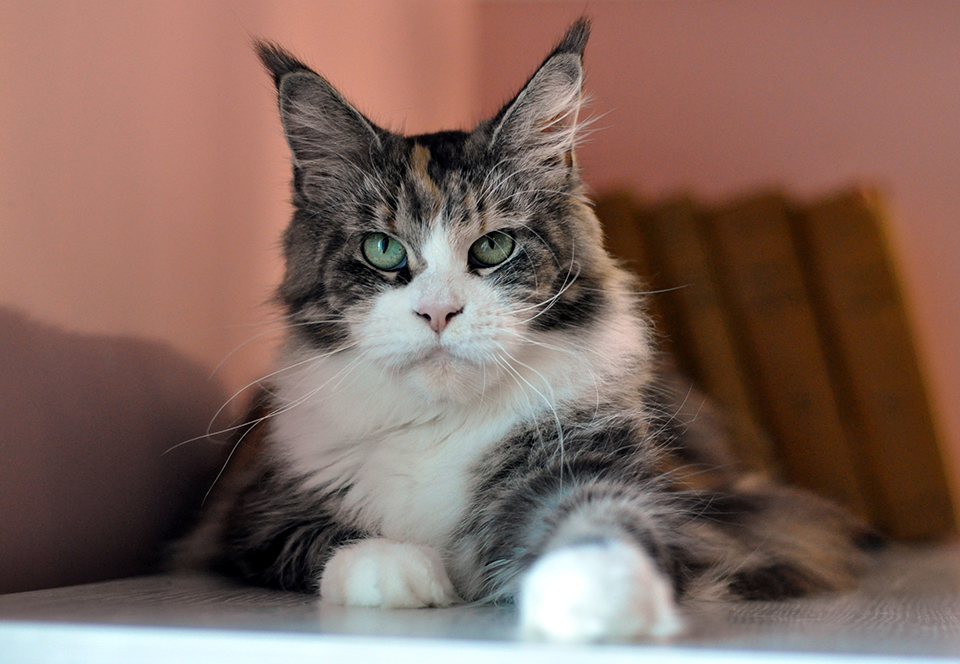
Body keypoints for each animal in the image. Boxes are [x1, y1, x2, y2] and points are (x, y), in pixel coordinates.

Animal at [174, 19, 876, 644]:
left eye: (493, 247)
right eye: (382, 249)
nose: (438, 313)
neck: (441, 422)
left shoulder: (599, 467)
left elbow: (606, 518)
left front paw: (596, 595)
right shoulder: (253, 511)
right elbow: (327, 540)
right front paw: (399, 568)